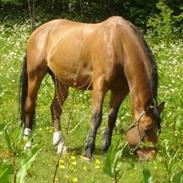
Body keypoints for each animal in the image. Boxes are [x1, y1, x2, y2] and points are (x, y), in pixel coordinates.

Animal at [19, 16, 164, 160]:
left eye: (159, 129)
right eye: (147, 129)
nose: (152, 155)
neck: (118, 44)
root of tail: (37, 32)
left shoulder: (120, 91)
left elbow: (112, 118)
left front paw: (106, 149)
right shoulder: (100, 85)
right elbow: (97, 117)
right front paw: (88, 152)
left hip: (60, 82)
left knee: (55, 109)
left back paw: (60, 146)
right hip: (35, 75)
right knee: (29, 106)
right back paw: (28, 145)